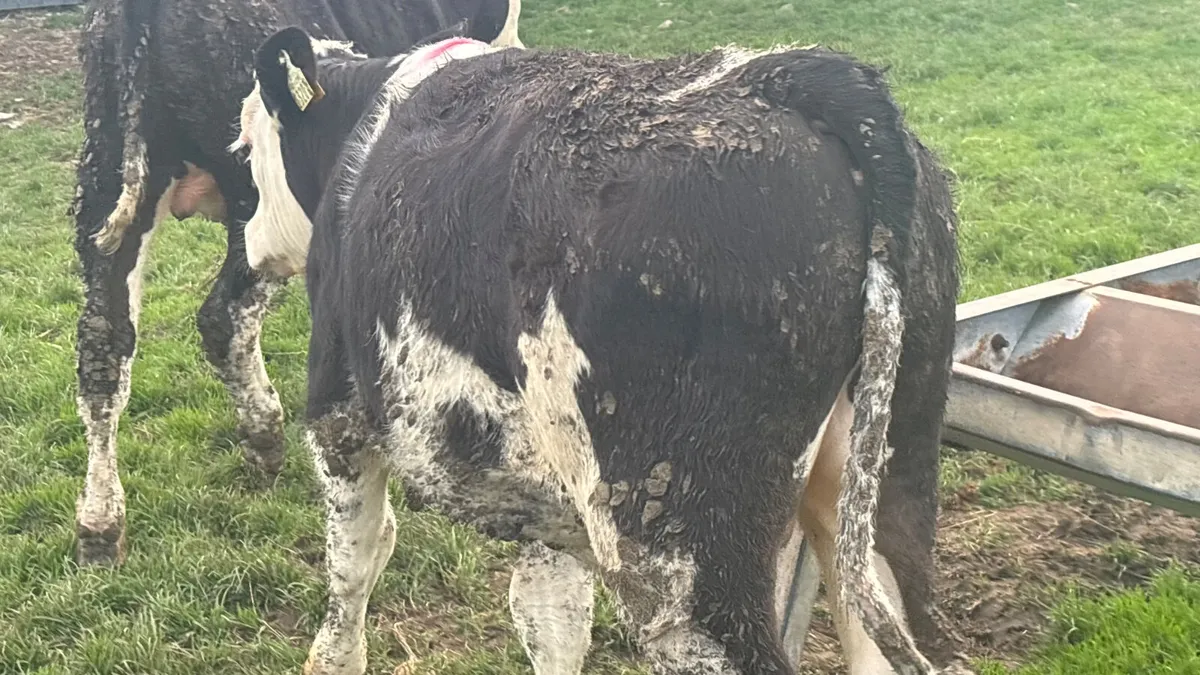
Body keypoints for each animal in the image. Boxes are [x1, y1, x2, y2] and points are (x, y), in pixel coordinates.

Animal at [69, 0, 524, 567]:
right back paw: (264, 434)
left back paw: (101, 524)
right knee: (223, 318)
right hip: (256, 199)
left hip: (107, 175)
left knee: (104, 344)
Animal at [235, 27, 963, 675]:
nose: (248, 245)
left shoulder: (338, 416)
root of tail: (802, 73)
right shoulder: (550, 495)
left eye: (245, 150)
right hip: (883, 488)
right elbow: (550, 618)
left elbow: (355, 562)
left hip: (678, 552)